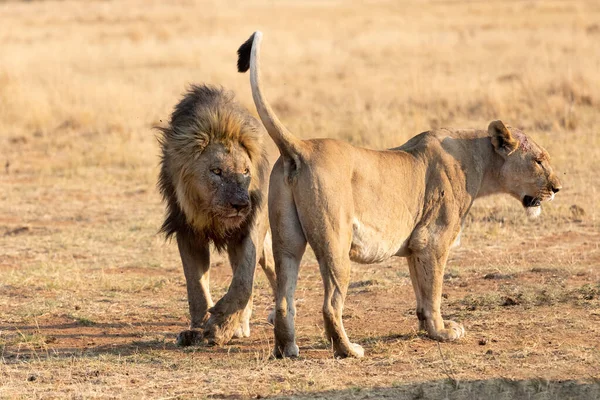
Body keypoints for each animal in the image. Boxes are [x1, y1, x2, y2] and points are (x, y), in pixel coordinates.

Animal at [155, 85, 276, 346]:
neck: (210, 214)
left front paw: (221, 326)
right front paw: (198, 328)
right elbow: (196, 286)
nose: (240, 204)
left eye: (246, 171)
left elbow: (243, 281)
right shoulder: (187, 230)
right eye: (217, 171)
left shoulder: (251, 227)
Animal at [236, 32, 564, 360]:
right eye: (539, 161)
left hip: (286, 240)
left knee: (283, 298)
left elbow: (421, 290)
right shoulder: (433, 240)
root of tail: (300, 146)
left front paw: (427, 328)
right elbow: (434, 291)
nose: (557, 188)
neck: (478, 159)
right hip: (335, 242)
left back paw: (287, 349)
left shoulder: (415, 245)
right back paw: (349, 350)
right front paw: (443, 332)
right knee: (330, 304)